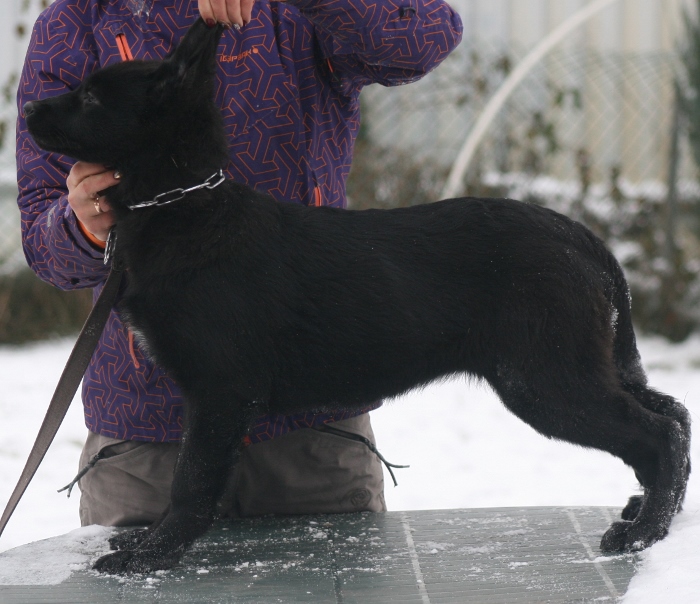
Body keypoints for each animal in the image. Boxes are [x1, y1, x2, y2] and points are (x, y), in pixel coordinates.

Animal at [24, 20, 692, 576]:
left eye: (91, 97)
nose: (28, 105)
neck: (182, 203)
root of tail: (577, 233)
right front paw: (148, 544)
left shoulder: (220, 392)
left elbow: (190, 481)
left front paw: (152, 555)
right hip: (578, 365)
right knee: (675, 415)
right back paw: (645, 512)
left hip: (545, 378)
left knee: (658, 431)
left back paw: (641, 534)